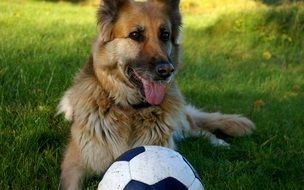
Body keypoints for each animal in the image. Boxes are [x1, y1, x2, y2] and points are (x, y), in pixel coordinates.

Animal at [57, 0, 256, 189]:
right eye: (135, 35)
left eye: (165, 35)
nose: (167, 71)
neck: (130, 110)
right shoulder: (74, 165)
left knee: (199, 129)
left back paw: (219, 143)